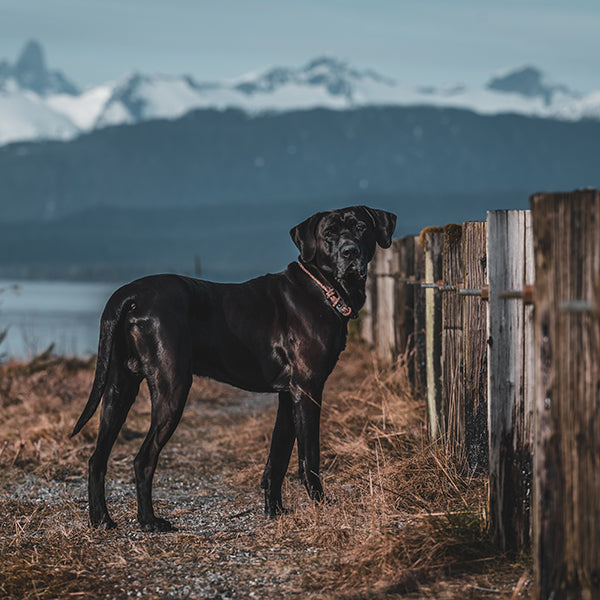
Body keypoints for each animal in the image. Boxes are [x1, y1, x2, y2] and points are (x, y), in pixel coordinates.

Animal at [71, 206, 394, 528]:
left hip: (118, 389)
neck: (322, 287)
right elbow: (308, 458)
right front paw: (321, 505)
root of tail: (130, 294)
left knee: (97, 459)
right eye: (329, 233)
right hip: (172, 388)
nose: (350, 251)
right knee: (143, 458)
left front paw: (274, 511)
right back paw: (149, 520)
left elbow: (277, 458)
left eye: (361, 227)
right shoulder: (308, 389)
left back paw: (101, 518)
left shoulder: (288, 395)